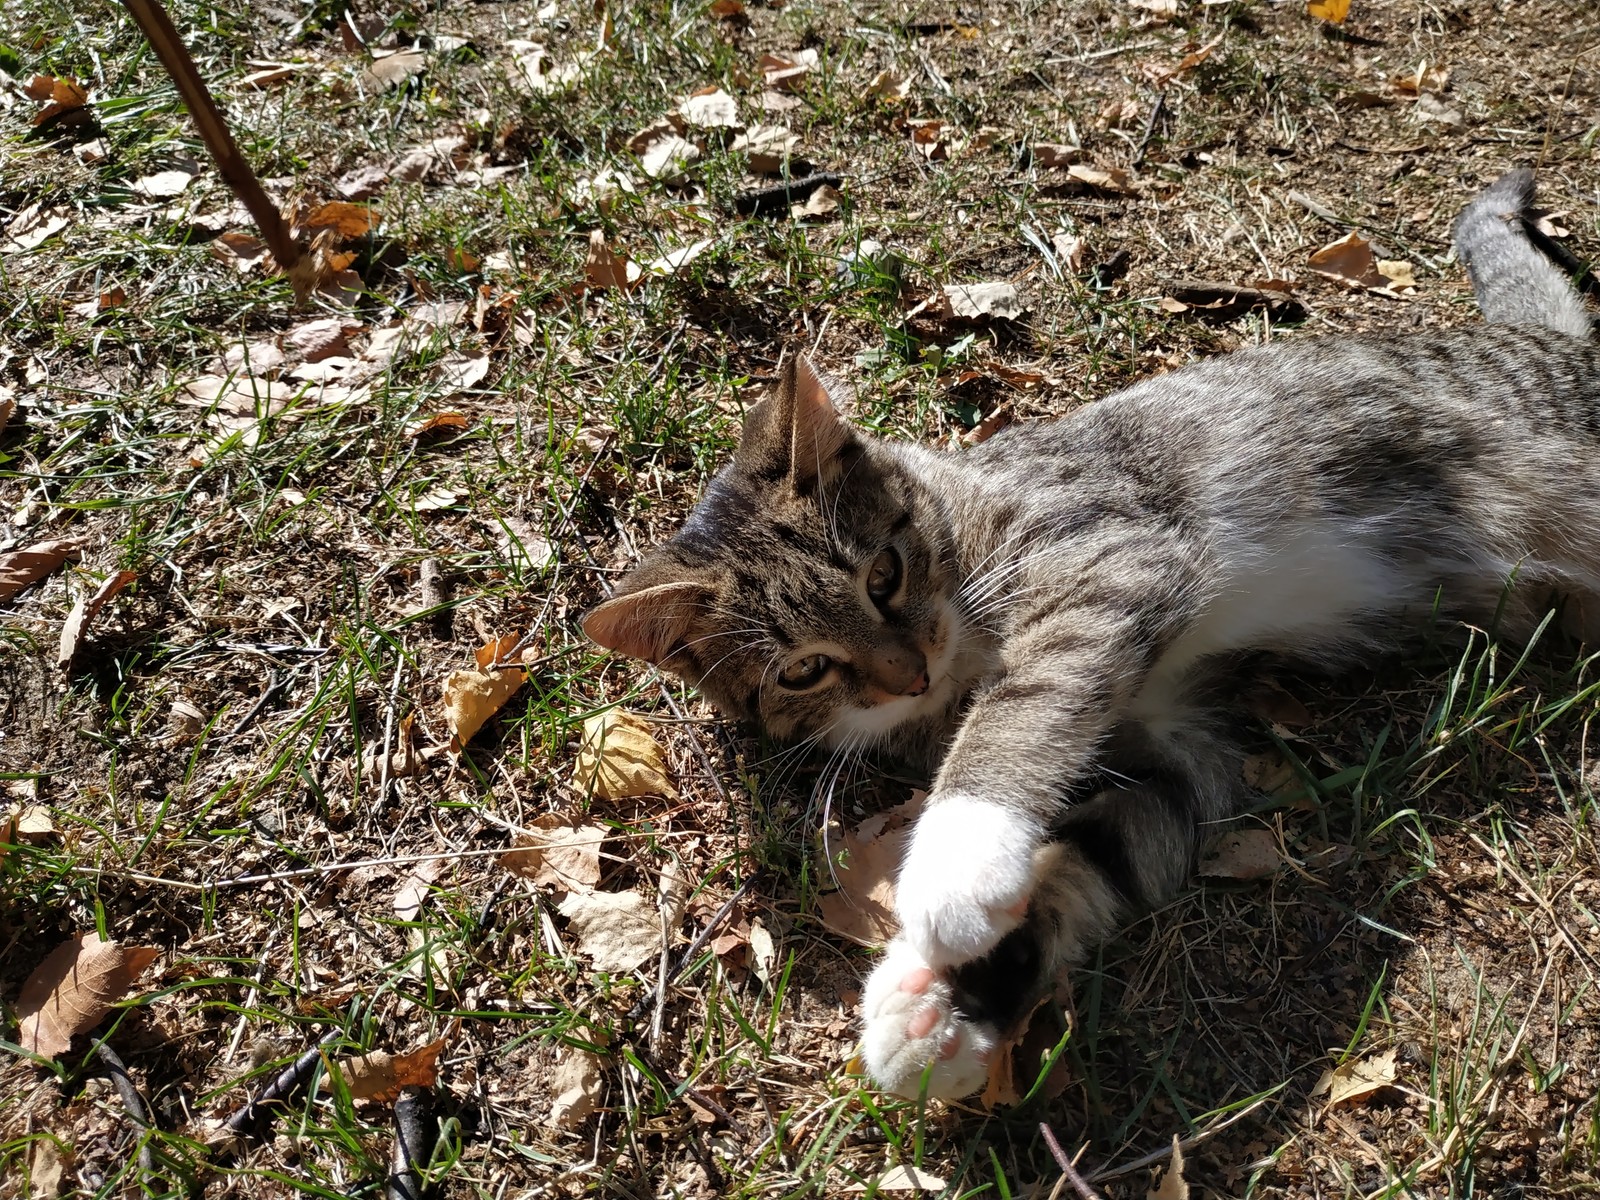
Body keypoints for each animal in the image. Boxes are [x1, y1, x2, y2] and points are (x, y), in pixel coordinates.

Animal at [582, 169, 1600, 1100]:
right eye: (804, 672)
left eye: (883, 575)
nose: (909, 675)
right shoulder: (1177, 749)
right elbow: (1099, 853)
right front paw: (945, 1012)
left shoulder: (1111, 559)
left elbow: (1023, 705)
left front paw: (953, 865)